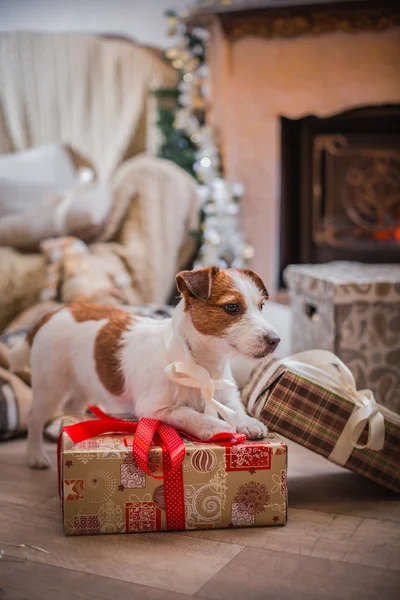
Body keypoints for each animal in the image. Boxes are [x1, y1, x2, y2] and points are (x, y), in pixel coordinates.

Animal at [13, 268, 282, 468]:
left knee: (71, 406)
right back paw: (35, 454)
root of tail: (53, 312)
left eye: (261, 306)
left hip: (83, 381)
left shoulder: (225, 392)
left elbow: (234, 407)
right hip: (50, 385)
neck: (201, 367)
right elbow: (188, 413)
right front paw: (214, 426)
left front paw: (246, 421)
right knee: (35, 417)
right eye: (232, 307)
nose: (276, 340)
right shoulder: (155, 409)